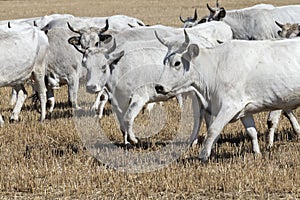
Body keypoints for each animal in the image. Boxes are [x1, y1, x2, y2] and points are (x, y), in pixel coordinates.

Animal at [156, 30, 300, 161]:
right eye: (164, 61)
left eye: (177, 63)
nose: (159, 87)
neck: (215, 68)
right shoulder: (244, 109)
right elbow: (251, 132)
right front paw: (257, 153)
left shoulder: (230, 106)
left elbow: (213, 130)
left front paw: (203, 156)